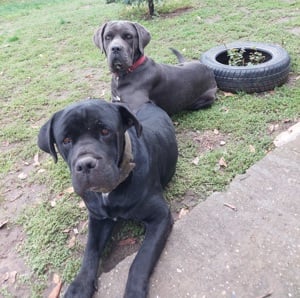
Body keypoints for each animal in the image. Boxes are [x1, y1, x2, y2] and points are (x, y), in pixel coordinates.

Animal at [37, 99, 178, 296]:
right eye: (66, 140)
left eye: (105, 131)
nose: (85, 164)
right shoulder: (98, 218)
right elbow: (90, 250)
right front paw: (80, 286)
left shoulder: (160, 216)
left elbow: (141, 259)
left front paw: (134, 292)